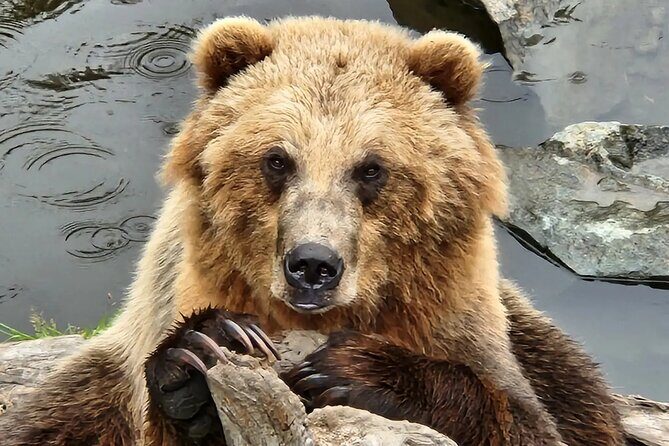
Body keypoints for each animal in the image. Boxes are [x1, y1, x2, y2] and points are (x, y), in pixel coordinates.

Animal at [0, 16, 624, 446]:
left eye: (371, 167)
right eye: (277, 159)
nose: (313, 266)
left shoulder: (464, 327)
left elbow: (526, 421)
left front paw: (354, 370)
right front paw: (207, 348)